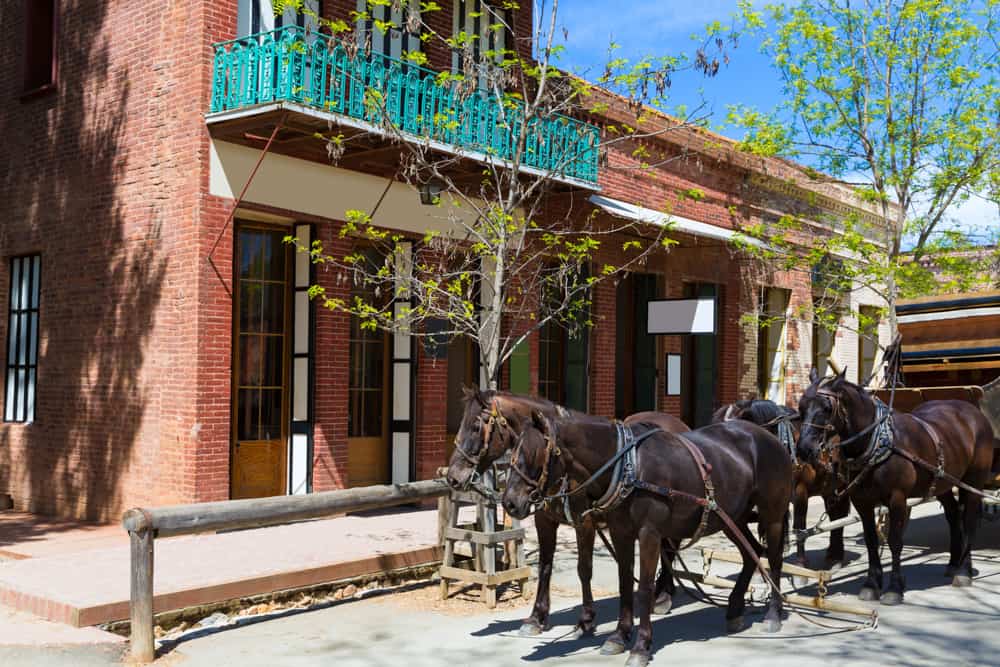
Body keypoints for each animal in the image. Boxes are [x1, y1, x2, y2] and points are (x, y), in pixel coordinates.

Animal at [446, 394, 688, 640]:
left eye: (476, 427)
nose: (453, 477)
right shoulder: (544, 521)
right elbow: (545, 565)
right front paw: (536, 617)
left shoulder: (584, 523)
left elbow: (584, 569)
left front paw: (586, 620)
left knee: (670, 548)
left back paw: (663, 597)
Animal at [504, 412, 792, 667]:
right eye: (512, 453)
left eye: (533, 454)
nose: (509, 502)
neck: (628, 465)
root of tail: (768, 435)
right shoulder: (620, 532)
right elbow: (623, 583)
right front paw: (619, 635)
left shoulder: (648, 533)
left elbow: (643, 588)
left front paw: (640, 645)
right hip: (731, 517)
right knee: (751, 552)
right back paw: (734, 609)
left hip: (772, 513)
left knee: (774, 558)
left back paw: (773, 614)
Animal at [712, 400, 852, 572]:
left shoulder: (800, 492)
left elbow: (799, 526)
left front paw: (800, 562)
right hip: (828, 488)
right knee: (835, 515)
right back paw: (832, 554)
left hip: (842, 486)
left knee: (840, 516)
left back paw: (836, 558)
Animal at [796, 368, 992, 604]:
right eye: (801, 407)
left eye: (826, 408)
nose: (804, 449)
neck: (878, 441)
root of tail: (973, 412)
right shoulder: (862, 501)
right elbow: (871, 541)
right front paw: (871, 584)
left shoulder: (897, 498)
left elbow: (895, 541)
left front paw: (894, 588)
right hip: (943, 482)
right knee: (954, 516)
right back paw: (954, 564)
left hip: (973, 480)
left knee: (968, 520)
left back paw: (964, 571)